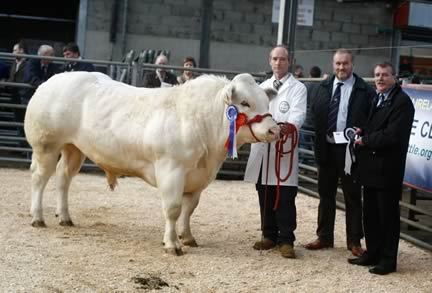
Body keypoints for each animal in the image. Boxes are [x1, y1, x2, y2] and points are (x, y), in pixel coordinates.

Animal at [24, 70, 280, 253]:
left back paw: (65, 217)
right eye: (245, 103)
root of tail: (51, 81)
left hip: (74, 148)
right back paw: (37, 217)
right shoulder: (171, 169)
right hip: (46, 145)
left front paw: (187, 237)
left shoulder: (198, 178)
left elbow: (189, 209)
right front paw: (172, 244)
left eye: (266, 103)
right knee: (39, 178)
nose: (274, 130)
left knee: (63, 178)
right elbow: (173, 209)